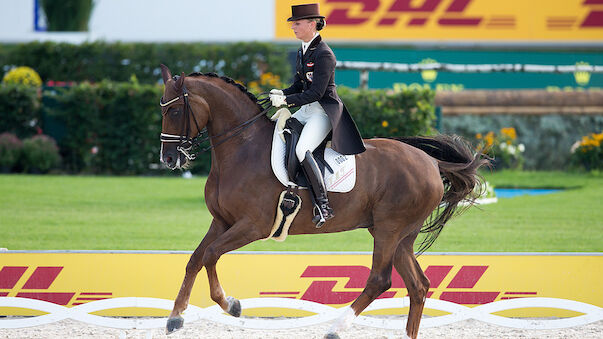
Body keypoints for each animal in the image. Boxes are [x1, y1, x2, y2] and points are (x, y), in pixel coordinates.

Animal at [158, 64, 488, 339]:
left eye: (174, 112)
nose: (169, 159)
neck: (242, 148)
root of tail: (431, 161)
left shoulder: (253, 226)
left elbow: (211, 254)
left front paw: (231, 304)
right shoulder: (221, 221)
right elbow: (195, 259)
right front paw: (175, 318)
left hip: (389, 228)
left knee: (380, 279)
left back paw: (336, 328)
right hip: (400, 235)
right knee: (418, 285)